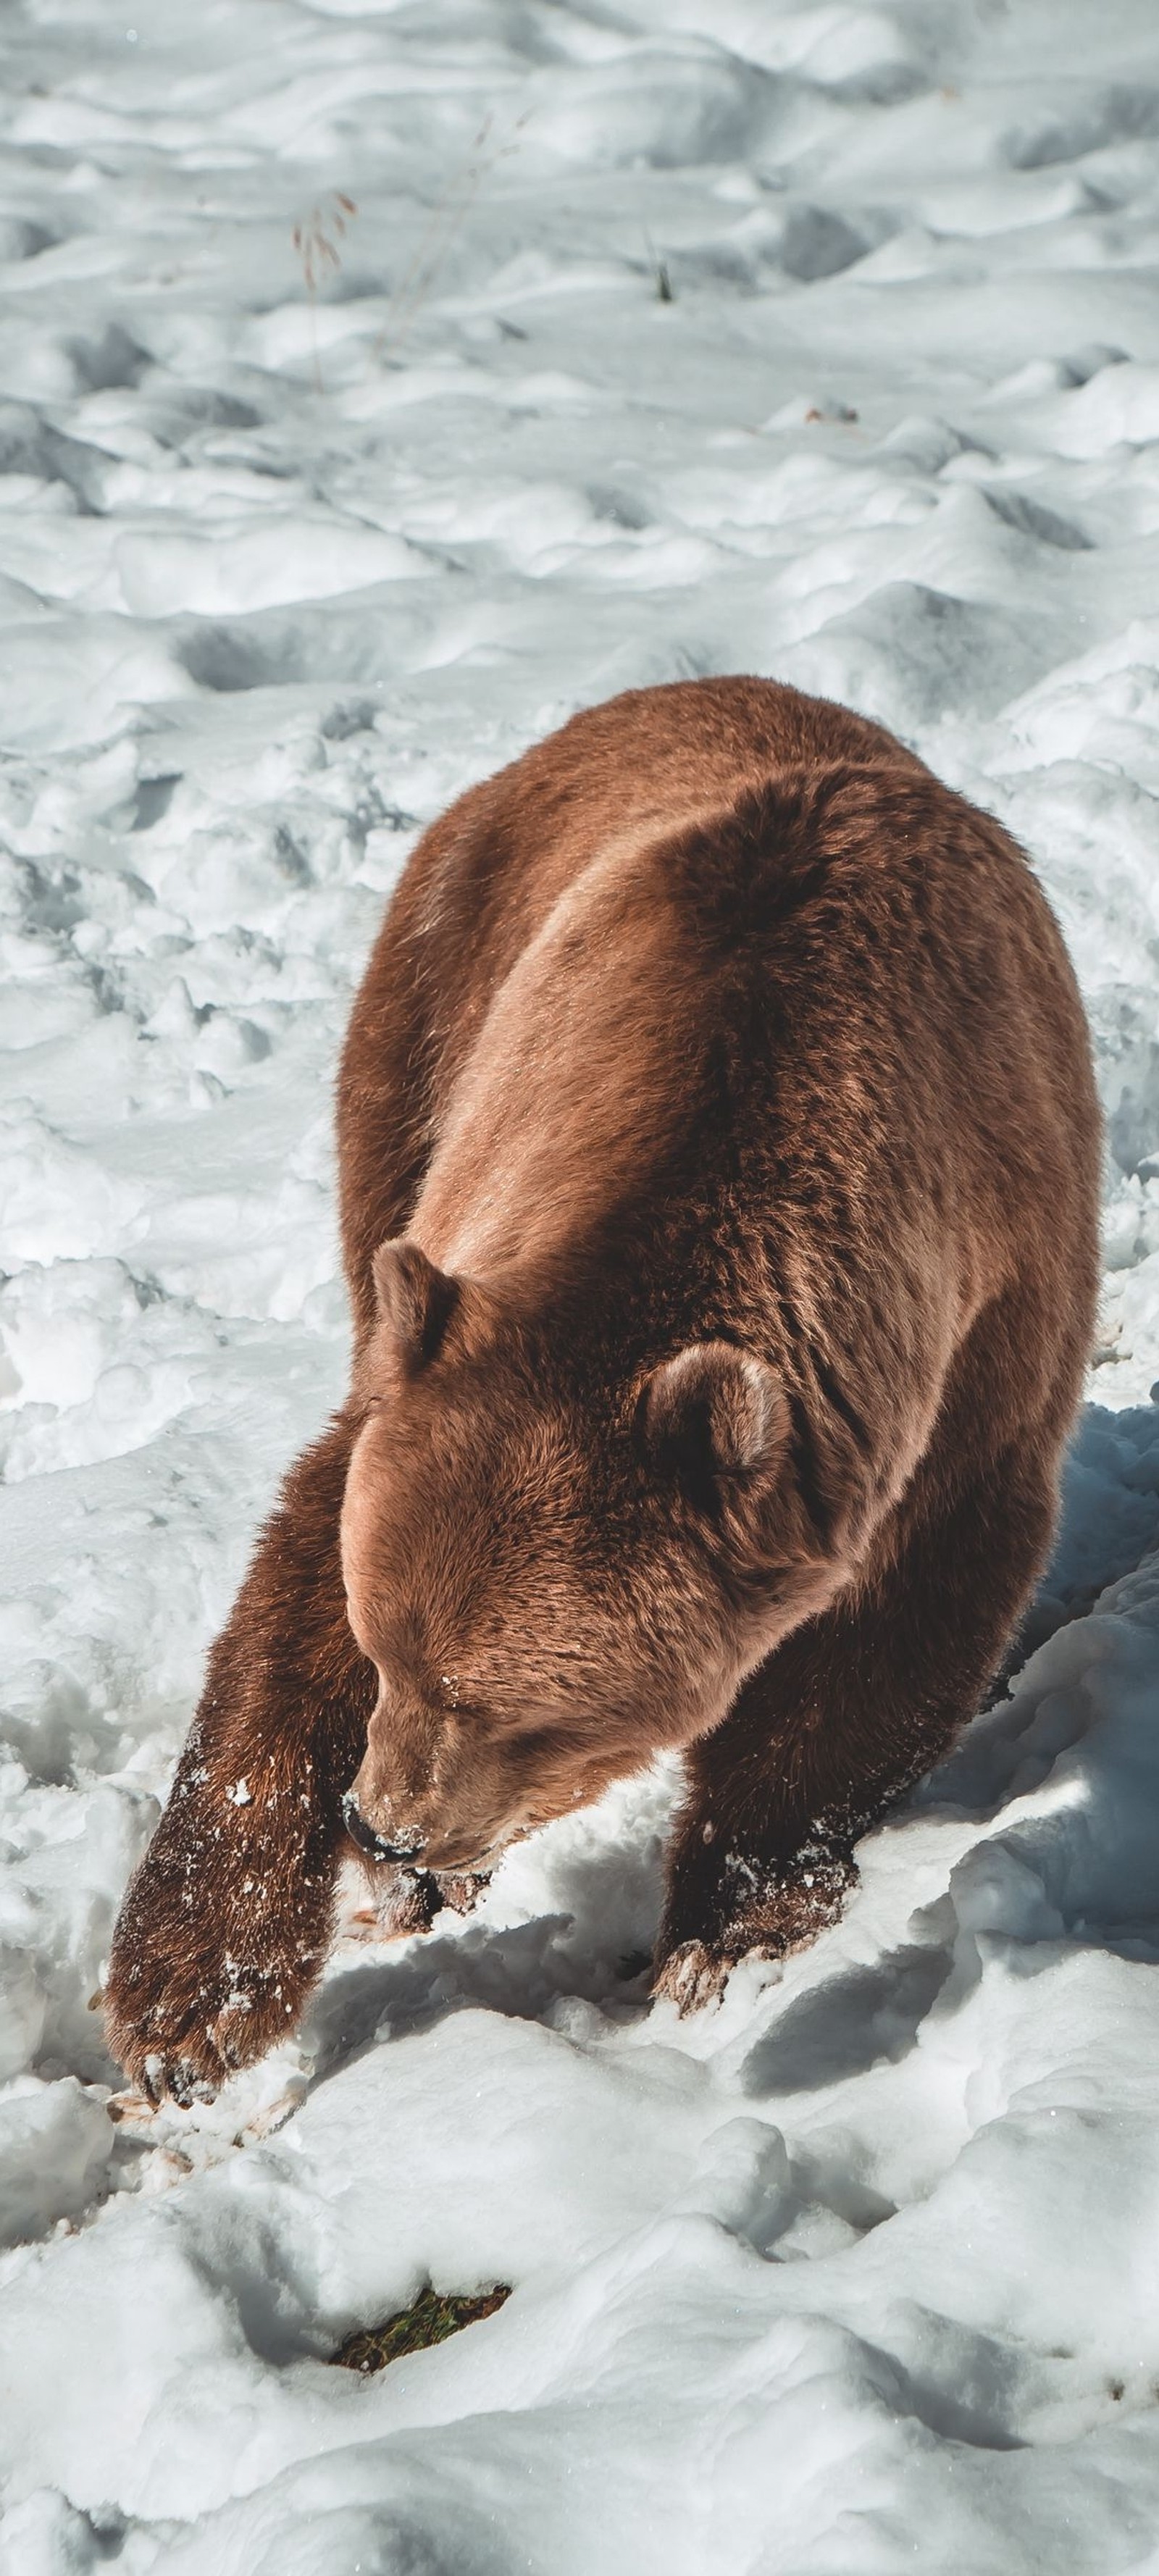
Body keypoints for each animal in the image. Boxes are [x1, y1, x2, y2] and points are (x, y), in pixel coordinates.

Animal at [104, 674, 1102, 2102]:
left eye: (508, 1705)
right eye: (388, 1645)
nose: (386, 1825)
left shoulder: (975, 1351)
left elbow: (877, 1652)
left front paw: (725, 1939)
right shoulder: (465, 1278)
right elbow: (294, 1580)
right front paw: (189, 2006)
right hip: (428, 1018)